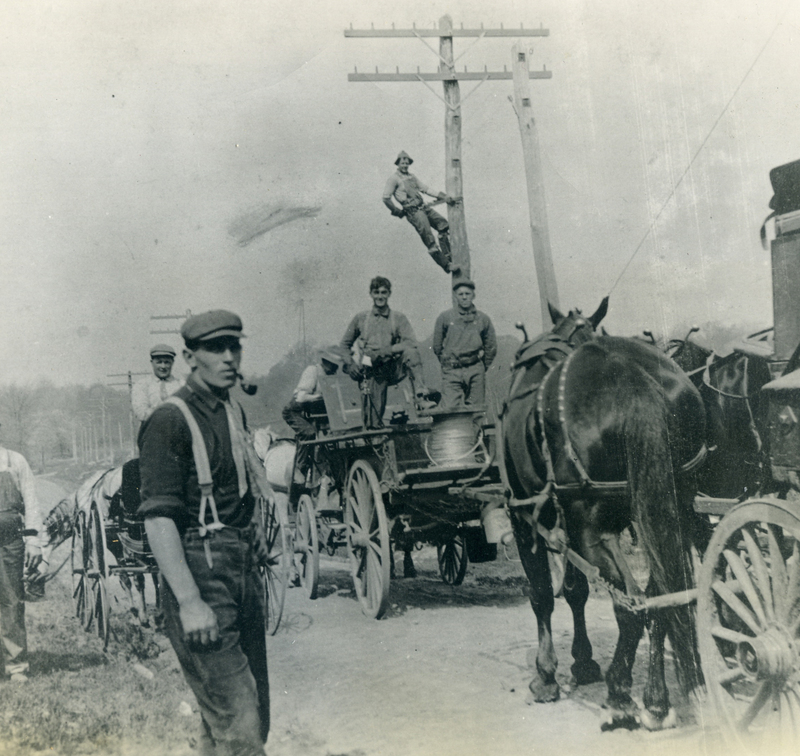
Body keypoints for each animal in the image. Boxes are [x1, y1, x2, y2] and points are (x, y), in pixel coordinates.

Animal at [504, 302, 708, 732]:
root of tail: (634, 381)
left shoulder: (524, 513)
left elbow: (542, 594)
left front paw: (546, 675)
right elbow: (575, 590)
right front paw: (582, 663)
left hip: (591, 530)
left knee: (630, 605)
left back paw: (620, 695)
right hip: (673, 511)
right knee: (661, 596)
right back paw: (657, 700)